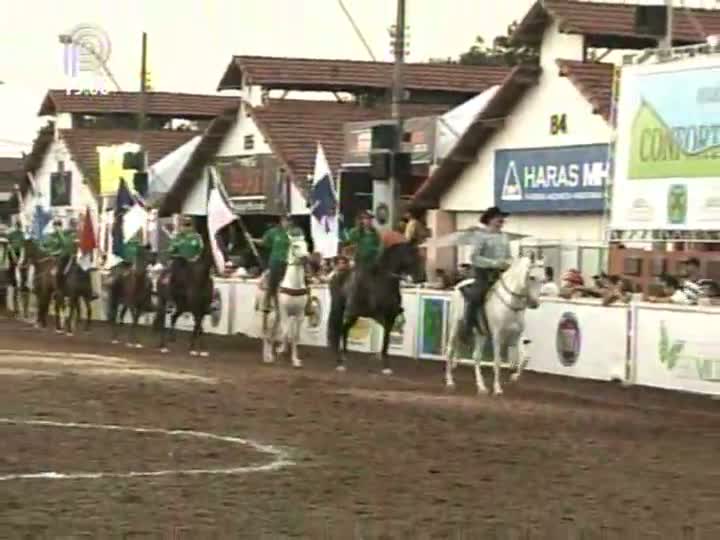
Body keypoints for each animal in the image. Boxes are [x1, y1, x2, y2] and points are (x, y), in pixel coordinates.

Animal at [326, 242, 422, 376]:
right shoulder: (385, 316)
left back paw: (345, 356)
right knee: (338, 330)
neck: (385, 281)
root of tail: (337, 276)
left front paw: (381, 359)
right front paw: (386, 366)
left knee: (344, 329)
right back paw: (340, 363)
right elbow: (386, 339)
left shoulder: (387, 317)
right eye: (413, 255)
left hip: (353, 315)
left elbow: (386, 337)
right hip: (343, 310)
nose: (421, 277)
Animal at [444, 255, 544, 394]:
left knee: (476, 356)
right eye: (532, 277)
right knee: (449, 351)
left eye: (544, 279)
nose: (535, 303)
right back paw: (449, 382)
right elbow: (497, 362)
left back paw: (481, 386)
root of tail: (459, 285)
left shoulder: (516, 336)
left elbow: (525, 358)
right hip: (455, 326)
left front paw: (514, 377)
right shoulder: (497, 336)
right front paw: (497, 388)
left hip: (480, 334)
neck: (510, 303)